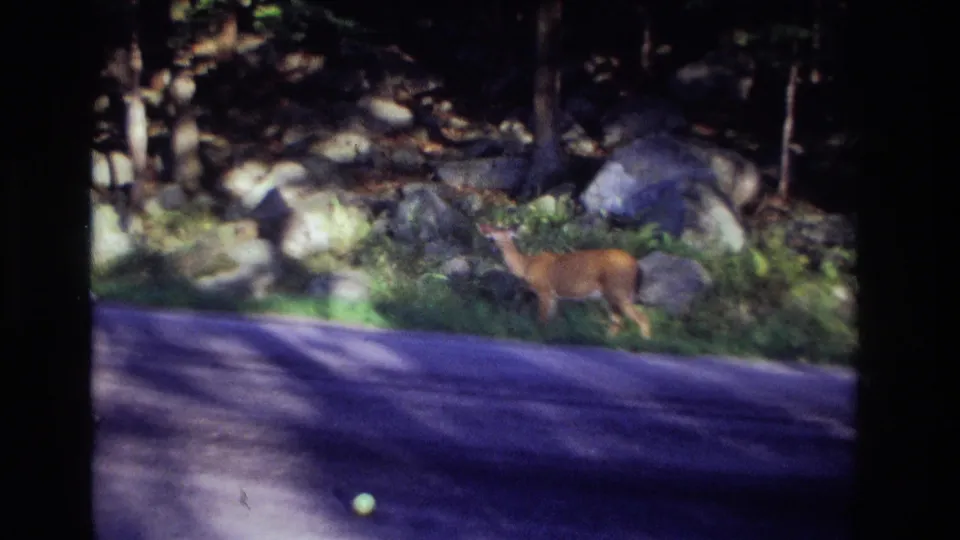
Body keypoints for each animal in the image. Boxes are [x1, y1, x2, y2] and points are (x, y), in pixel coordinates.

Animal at [477, 223, 652, 339]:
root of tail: (636, 265)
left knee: (642, 318)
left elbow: (541, 320)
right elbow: (551, 321)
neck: (527, 266)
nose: (495, 247)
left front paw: (539, 336)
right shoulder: (554, 297)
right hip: (612, 296)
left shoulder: (544, 291)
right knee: (617, 321)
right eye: (491, 238)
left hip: (620, 290)